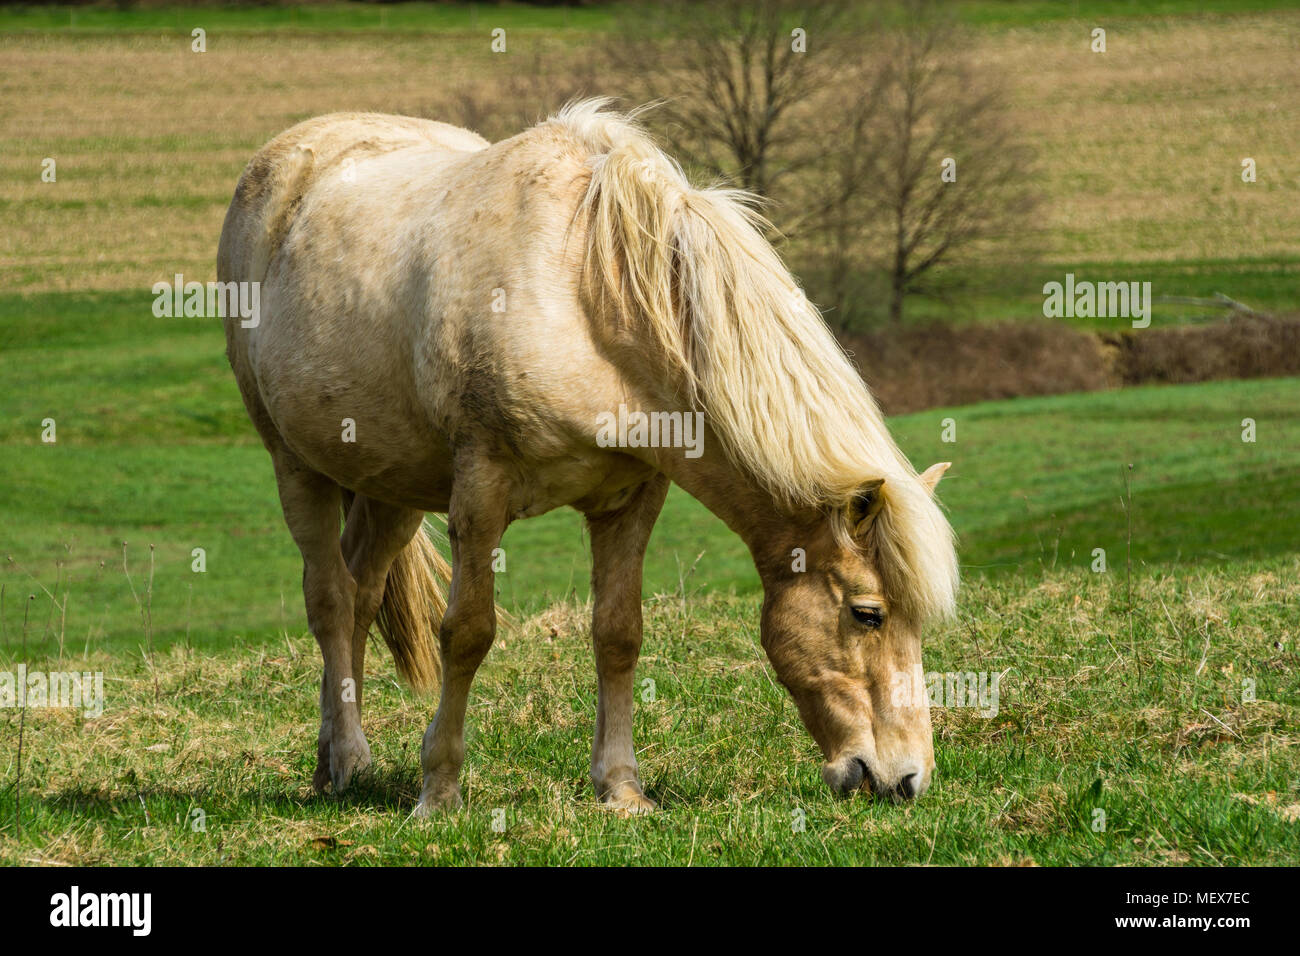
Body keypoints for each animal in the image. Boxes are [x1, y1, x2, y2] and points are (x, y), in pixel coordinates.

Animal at [218, 98, 961, 816]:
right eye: (867, 613)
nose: (906, 779)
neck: (587, 297)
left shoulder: (631, 499)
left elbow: (618, 634)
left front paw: (621, 789)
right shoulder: (479, 493)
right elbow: (467, 632)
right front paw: (440, 791)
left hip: (390, 485)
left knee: (363, 593)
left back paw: (337, 760)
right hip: (295, 465)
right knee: (330, 601)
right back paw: (346, 759)